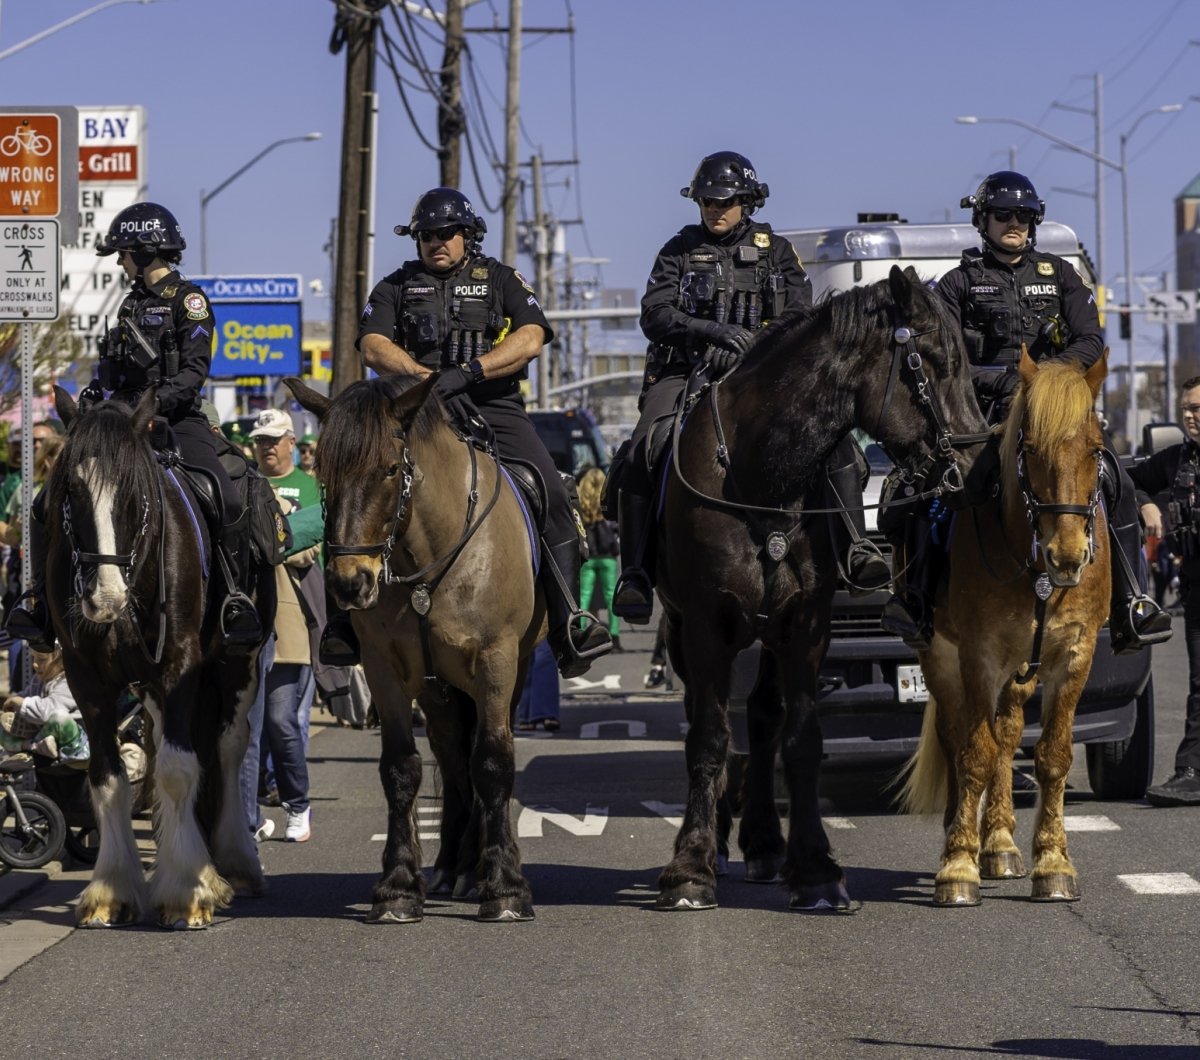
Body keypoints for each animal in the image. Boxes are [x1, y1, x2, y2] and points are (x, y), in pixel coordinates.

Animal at [45, 388, 273, 926]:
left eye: (132, 494)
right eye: (71, 490)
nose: (103, 598)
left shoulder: (180, 665)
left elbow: (176, 769)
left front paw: (188, 890)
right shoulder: (87, 679)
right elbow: (108, 778)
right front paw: (112, 890)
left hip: (238, 664)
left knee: (228, 747)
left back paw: (234, 863)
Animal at [285, 376, 540, 926]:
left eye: (388, 469)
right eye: (323, 474)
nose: (349, 582)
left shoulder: (497, 661)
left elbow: (494, 762)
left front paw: (506, 886)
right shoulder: (384, 669)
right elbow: (402, 768)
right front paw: (399, 887)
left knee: (477, 755)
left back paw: (479, 868)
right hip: (437, 689)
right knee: (453, 756)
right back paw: (454, 867)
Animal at [657, 265, 984, 912]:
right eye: (934, 361)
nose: (979, 461)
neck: (763, 474)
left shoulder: (805, 624)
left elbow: (801, 740)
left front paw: (814, 869)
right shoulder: (707, 624)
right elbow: (708, 738)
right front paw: (690, 867)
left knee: (763, 719)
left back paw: (763, 842)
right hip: (687, 630)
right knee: (711, 719)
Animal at [897, 352, 1108, 907]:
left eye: (1096, 448)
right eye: (1029, 450)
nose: (1068, 556)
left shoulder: (1075, 654)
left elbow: (1052, 756)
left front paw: (1053, 863)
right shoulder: (979, 654)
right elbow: (974, 752)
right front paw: (957, 866)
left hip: (1020, 671)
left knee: (1008, 734)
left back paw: (999, 844)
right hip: (941, 656)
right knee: (958, 737)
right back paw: (964, 837)